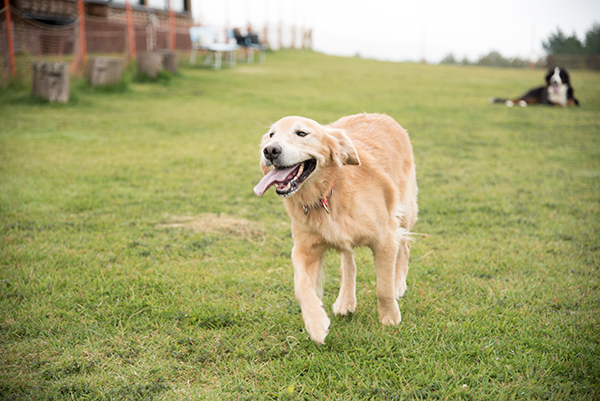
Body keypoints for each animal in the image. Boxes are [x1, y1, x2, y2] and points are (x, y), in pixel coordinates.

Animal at [253, 113, 418, 344]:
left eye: (302, 133)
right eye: (271, 134)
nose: (269, 150)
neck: (326, 194)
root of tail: (381, 115)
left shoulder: (385, 238)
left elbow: (383, 287)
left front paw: (389, 317)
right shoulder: (304, 250)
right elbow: (301, 287)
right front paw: (316, 324)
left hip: (404, 211)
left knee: (405, 246)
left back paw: (399, 284)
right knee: (348, 261)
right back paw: (345, 301)